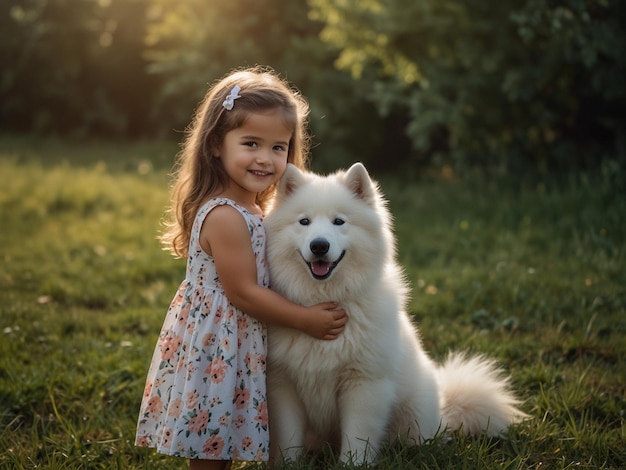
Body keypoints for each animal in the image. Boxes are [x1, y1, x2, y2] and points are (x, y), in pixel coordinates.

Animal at [264, 163, 528, 464]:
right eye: (304, 222)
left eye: (339, 222)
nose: (319, 245)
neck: (325, 302)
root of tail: (445, 408)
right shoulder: (282, 384)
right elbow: (288, 441)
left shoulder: (364, 383)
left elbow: (357, 438)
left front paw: (353, 465)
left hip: (413, 417)